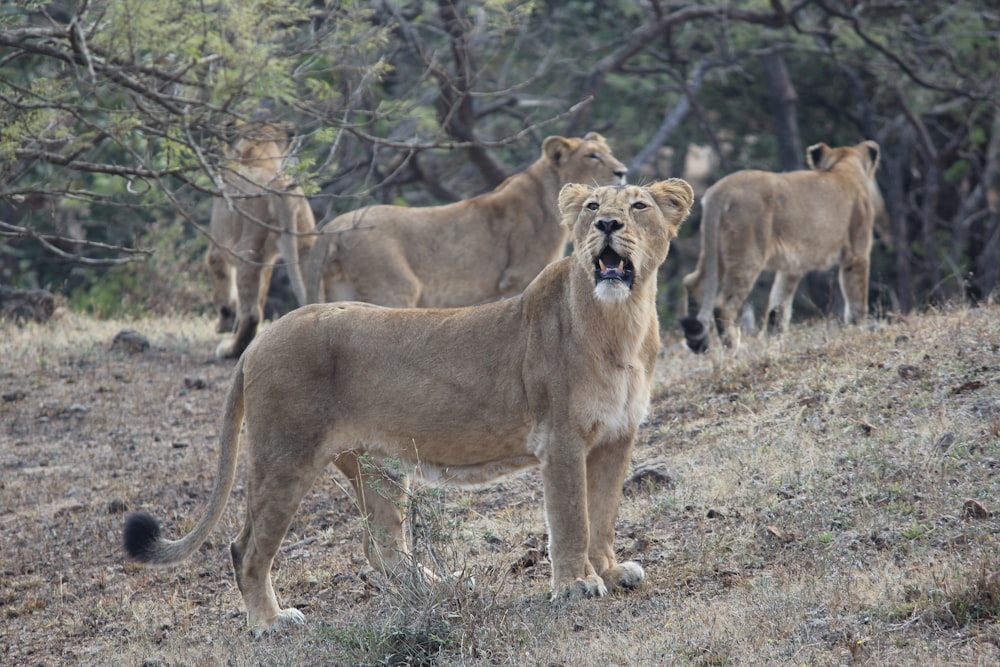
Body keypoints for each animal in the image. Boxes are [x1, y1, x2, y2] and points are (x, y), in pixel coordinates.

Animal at [121, 179, 696, 636]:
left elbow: (604, 512)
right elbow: (573, 517)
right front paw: (577, 585)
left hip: (375, 465)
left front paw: (612, 571)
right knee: (246, 547)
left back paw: (440, 585)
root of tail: (261, 340)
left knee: (382, 548)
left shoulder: (617, 436)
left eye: (640, 205)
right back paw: (270, 622)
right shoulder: (561, 440)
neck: (620, 322)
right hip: (285, 455)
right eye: (592, 205)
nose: (607, 224)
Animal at [209, 122, 318, 358]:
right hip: (307, 245)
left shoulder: (218, 247)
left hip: (247, 251)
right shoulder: (268, 260)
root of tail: (280, 188)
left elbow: (223, 288)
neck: (260, 156)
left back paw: (230, 349)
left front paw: (223, 324)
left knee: (251, 314)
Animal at [304, 134, 624, 310]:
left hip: (338, 288)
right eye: (592, 156)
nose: (622, 171)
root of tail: (333, 228)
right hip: (394, 288)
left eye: (609, 153)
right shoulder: (518, 277)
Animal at [680, 138, 884, 352]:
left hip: (714, 251)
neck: (842, 165)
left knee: (694, 282)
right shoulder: (857, 253)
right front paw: (859, 330)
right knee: (723, 304)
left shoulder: (792, 267)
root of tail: (720, 190)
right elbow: (857, 299)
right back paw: (734, 347)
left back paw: (697, 342)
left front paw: (772, 340)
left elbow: (778, 306)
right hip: (748, 253)